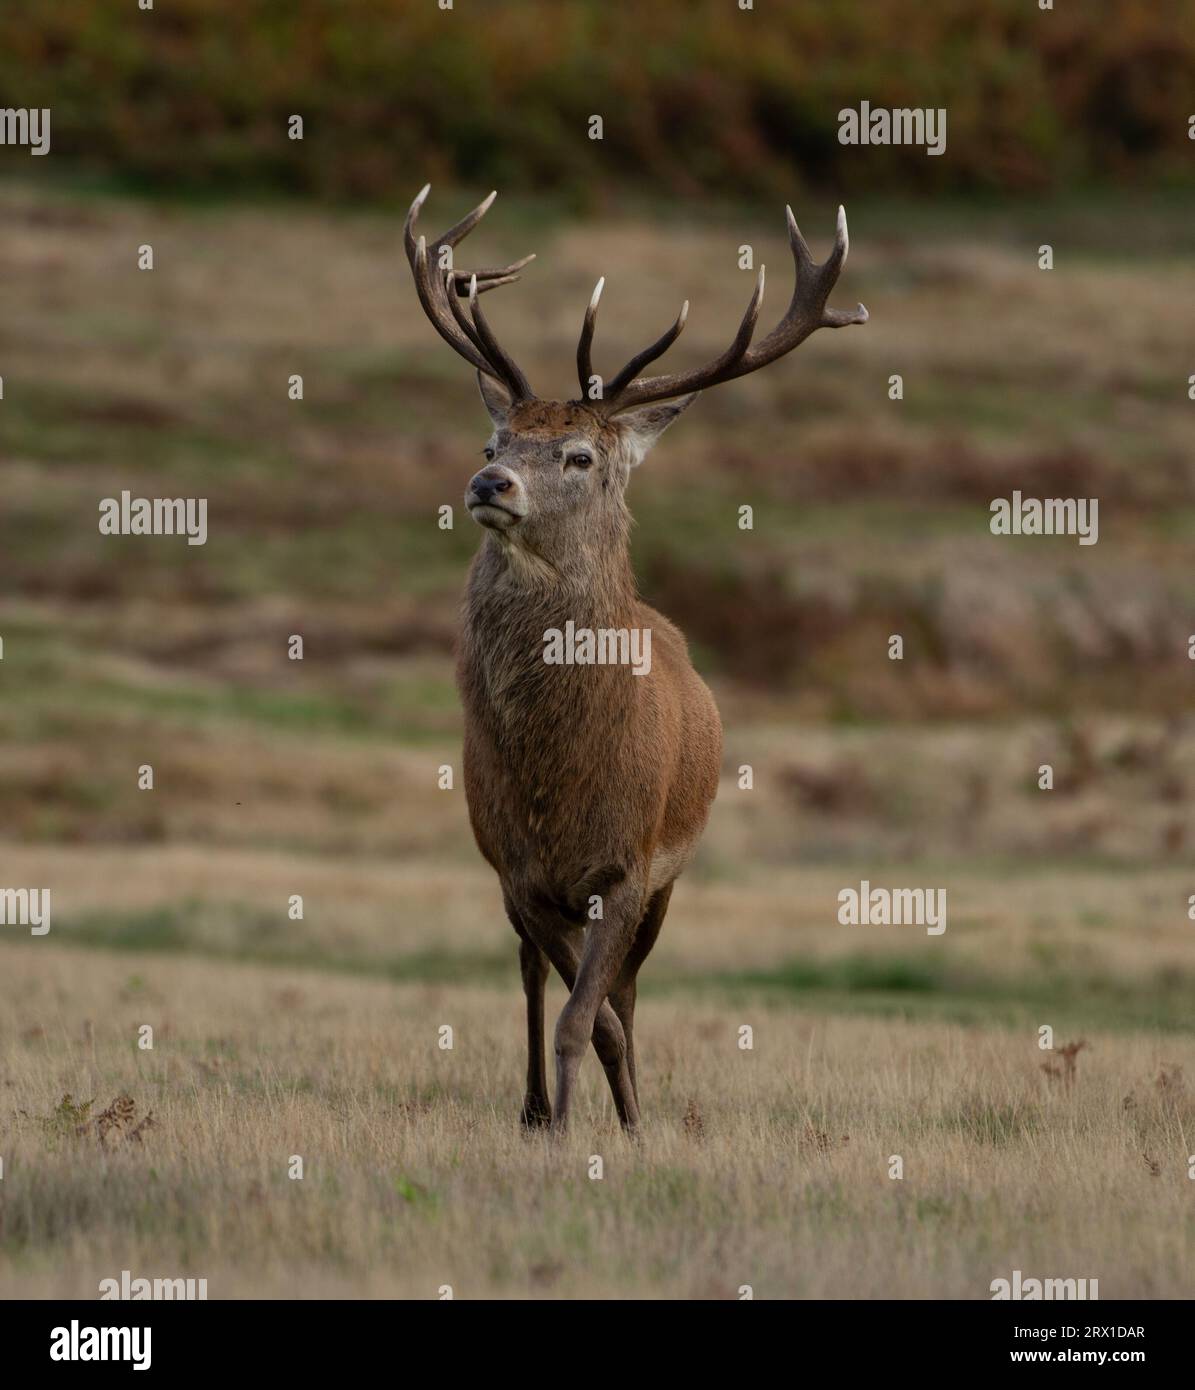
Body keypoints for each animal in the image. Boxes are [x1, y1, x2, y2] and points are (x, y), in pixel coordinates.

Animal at [403, 185, 867, 1132]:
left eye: (578, 455)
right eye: (492, 444)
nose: (489, 484)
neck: (559, 771)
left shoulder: (631, 863)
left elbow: (596, 1011)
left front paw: (618, 1123)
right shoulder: (516, 872)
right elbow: (574, 1008)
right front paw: (562, 1120)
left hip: (668, 873)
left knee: (624, 986)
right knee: (534, 978)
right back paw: (535, 1107)